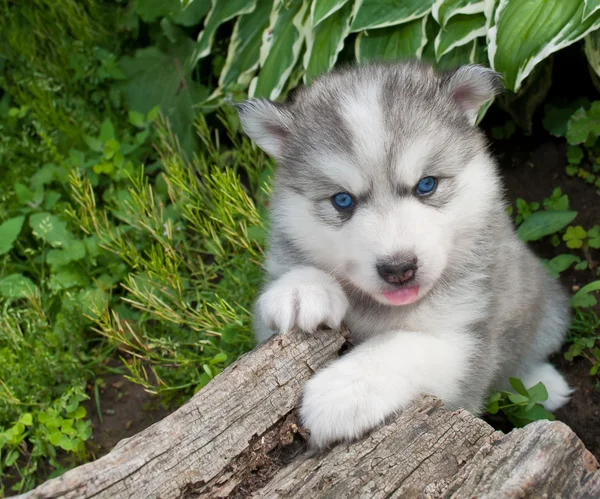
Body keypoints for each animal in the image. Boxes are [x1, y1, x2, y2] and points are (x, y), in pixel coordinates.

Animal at [234, 61, 572, 450]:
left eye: (426, 184)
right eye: (342, 200)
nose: (399, 269)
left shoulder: (469, 344)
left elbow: (404, 345)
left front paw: (342, 390)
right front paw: (303, 288)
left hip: (541, 305)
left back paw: (543, 383)